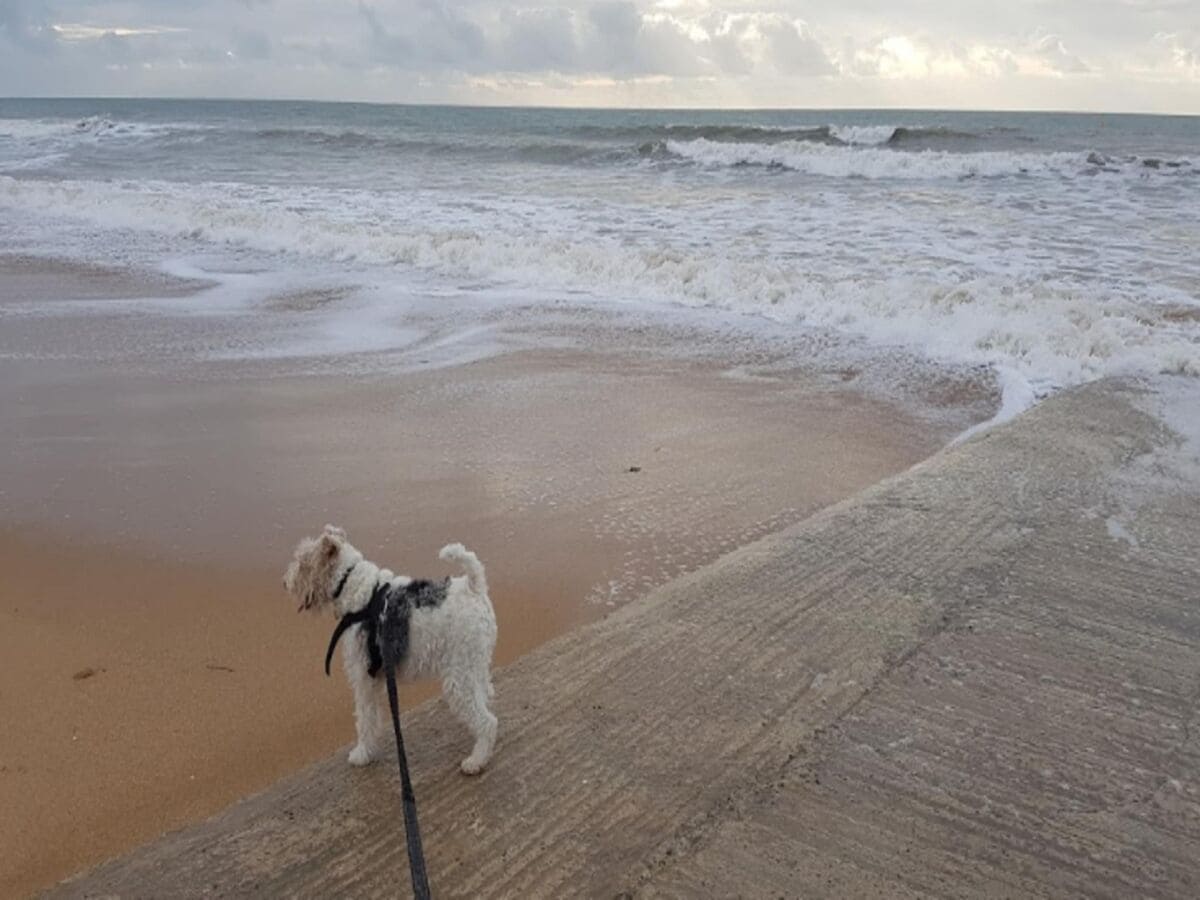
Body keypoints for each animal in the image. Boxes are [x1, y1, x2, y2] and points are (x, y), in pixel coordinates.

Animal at [284, 528, 496, 777]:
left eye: (304, 562)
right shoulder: (374, 677)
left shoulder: (363, 677)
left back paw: (476, 761)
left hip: (459, 676)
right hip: (474, 664)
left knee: (487, 721)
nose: (285, 582)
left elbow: (364, 719)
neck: (351, 585)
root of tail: (474, 586)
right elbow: (372, 717)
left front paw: (361, 754)